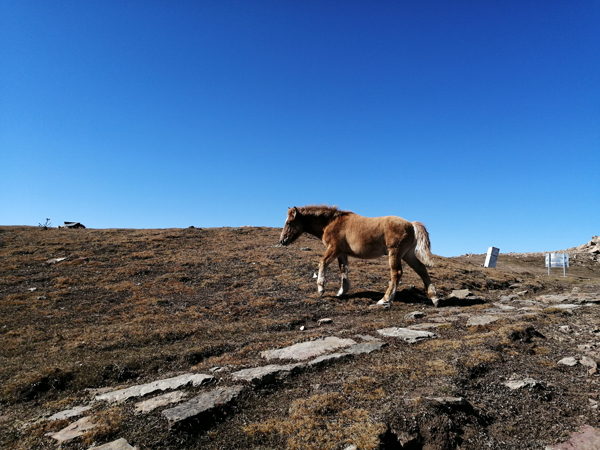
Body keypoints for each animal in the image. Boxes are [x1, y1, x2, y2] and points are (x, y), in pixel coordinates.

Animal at [278, 206, 438, 308]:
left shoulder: (334, 249)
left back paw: (385, 300)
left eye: (289, 222)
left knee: (396, 273)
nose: (282, 241)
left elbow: (322, 263)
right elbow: (343, 270)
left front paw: (321, 289)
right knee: (422, 270)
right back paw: (435, 298)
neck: (331, 223)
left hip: (395, 253)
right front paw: (341, 291)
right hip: (407, 255)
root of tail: (411, 224)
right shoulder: (342, 253)